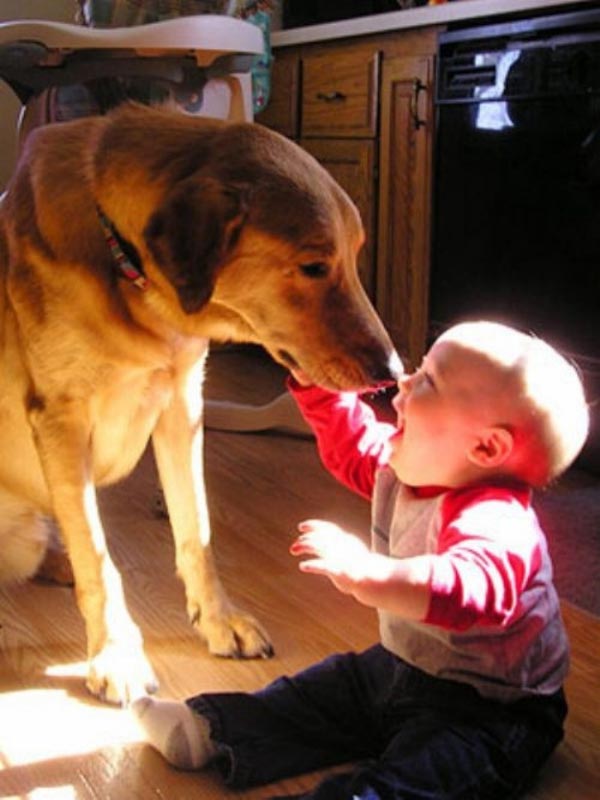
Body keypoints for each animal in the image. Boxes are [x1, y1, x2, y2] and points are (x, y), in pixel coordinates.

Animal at [1, 103, 404, 704]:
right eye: (313, 265)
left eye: (355, 258)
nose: (393, 374)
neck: (128, 276)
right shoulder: (60, 420)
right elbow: (97, 551)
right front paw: (116, 650)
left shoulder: (181, 408)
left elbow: (198, 531)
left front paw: (218, 621)